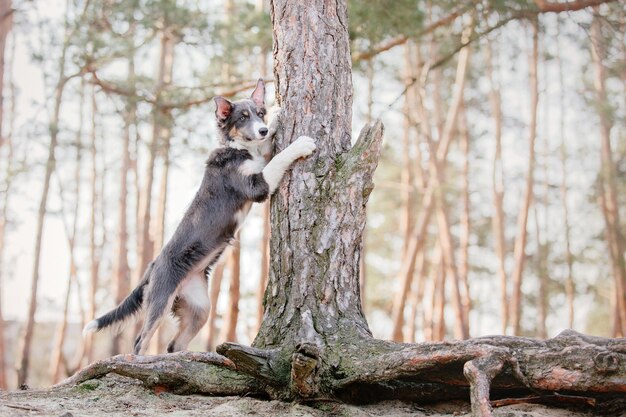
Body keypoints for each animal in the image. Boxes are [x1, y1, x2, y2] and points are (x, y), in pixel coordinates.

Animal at [84, 79, 314, 354]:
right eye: (242, 117)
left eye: (260, 113)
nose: (262, 129)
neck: (238, 149)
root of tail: (152, 266)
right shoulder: (256, 185)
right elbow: (279, 157)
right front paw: (301, 144)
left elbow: (269, 148)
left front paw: (277, 114)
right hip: (160, 301)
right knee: (140, 341)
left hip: (199, 307)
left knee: (174, 344)